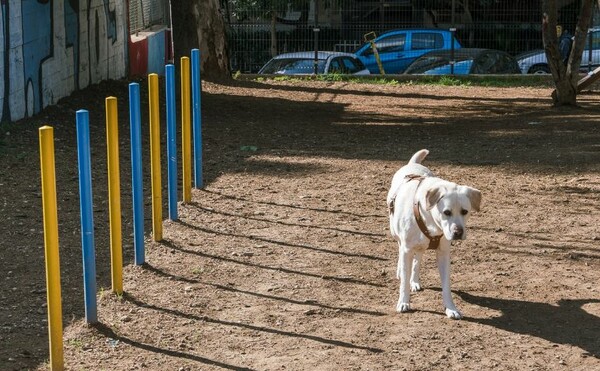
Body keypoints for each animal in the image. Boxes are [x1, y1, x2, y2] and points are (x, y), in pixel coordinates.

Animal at [386, 149, 480, 320]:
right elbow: (404, 280)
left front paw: (451, 308)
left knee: (418, 258)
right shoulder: (407, 249)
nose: (458, 233)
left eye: (465, 211)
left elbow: (446, 285)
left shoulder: (443, 253)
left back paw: (415, 281)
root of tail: (412, 164)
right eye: (446, 212)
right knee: (401, 250)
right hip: (396, 233)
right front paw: (403, 302)